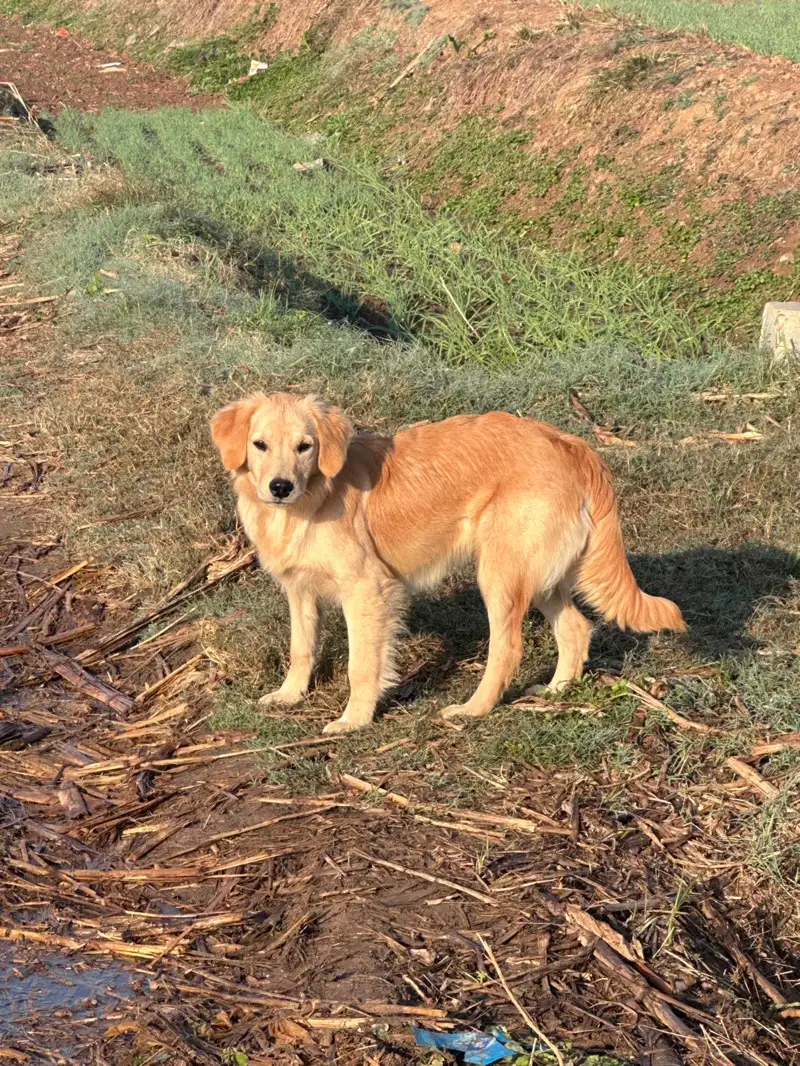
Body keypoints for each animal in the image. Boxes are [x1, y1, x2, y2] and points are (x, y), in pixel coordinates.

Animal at [210, 392, 686, 733]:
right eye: (260, 445)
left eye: (305, 447)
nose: (280, 486)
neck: (313, 498)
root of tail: (574, 445)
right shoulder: (300, 590)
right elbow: (301, 648)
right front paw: (289, 696)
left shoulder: (368, 589)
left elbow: (361, 664)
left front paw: (354, 720)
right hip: (537, 577)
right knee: (576, 628)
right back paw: (555, 690)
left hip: (500, 576)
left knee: (508, 649)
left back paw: (474, 708)